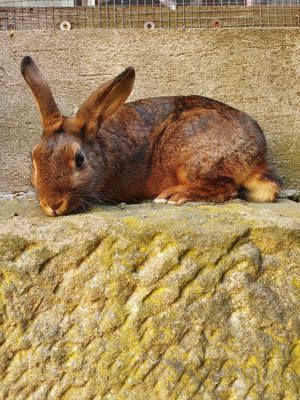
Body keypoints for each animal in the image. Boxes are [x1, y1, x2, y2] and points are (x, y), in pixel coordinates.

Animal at [20, 55, 282, 216]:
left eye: (79, 159)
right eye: (33, 158)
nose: (52, 204)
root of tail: (258, 157)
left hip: (189, 158)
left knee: (227, 187)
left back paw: (174, 196)